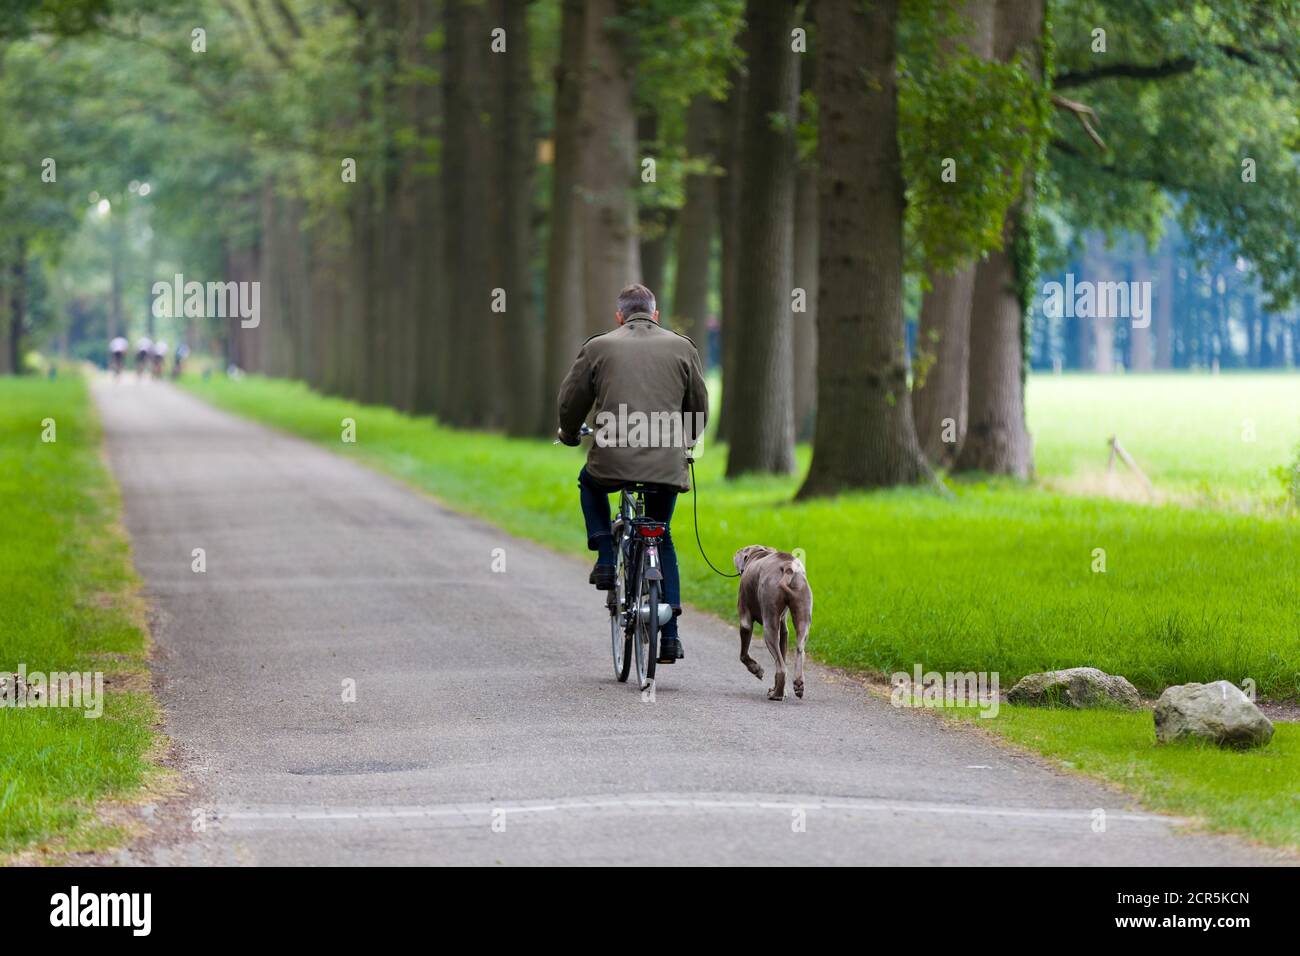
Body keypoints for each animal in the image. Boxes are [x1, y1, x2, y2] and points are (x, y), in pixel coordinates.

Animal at [733, 546, 811, 702]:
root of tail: (787, 566)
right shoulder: (784, 629)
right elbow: (784, 647)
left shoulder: (745, 620)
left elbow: (743, 655)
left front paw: (756, 669)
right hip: (803, 612)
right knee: (799, 650)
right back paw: (798, 685)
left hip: (769, 623)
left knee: (781, 668)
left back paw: (776, 695)